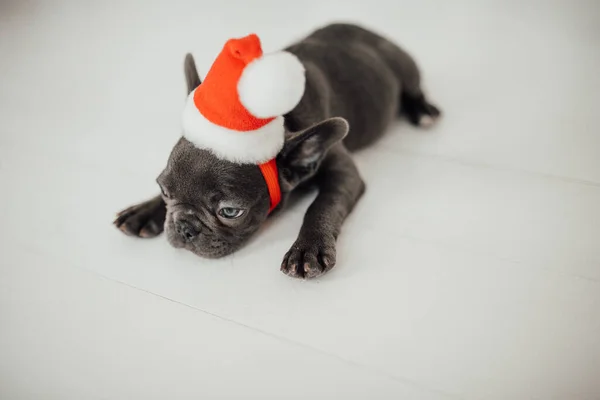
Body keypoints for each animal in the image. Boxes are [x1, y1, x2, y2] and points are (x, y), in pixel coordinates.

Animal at [113, 21, 440, 278]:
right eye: (164, 191)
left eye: (230, 211)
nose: (183, 227)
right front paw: (143, 211)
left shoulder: (342, 171)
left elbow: (322, 204)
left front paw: (307, 249)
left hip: (404, 66)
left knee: (413, 88)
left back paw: (423, 111)